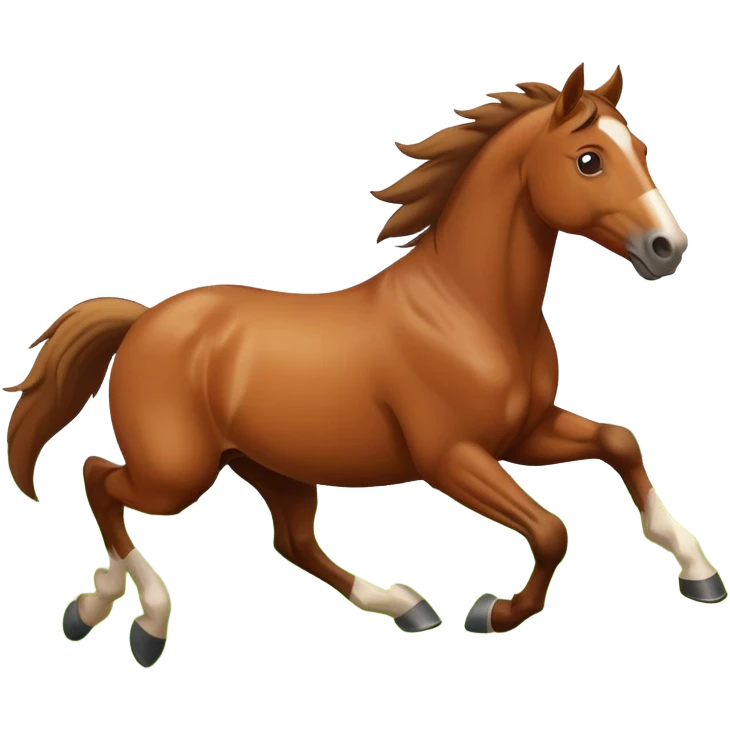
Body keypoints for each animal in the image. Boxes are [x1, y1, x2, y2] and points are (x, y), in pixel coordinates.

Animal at [5, 62, 726, 668]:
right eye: (588, 160)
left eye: (641, 151)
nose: (667, 247)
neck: (469, 308)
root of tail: (143, 320)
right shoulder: (452, 457)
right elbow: (551, 531)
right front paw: (496, 613)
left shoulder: (526, 432)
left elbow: (619, 442)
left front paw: (697, 570)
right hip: (177, 470)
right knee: (100, 479)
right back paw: (132, 617)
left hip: (270, 465)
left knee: (292, 540)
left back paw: (401, 605)